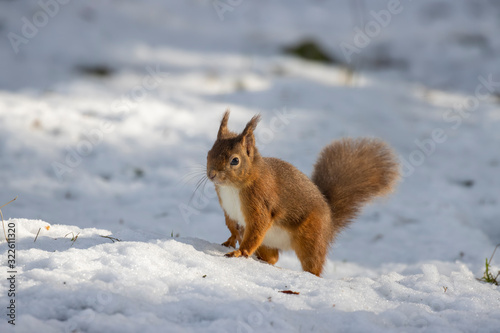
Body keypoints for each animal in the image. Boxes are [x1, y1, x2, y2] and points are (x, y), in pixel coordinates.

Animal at [206, 110, 398, 276]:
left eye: (235, 160)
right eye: (209, 153)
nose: (212, 174)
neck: (232, 187)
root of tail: (330, 220)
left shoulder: (260, 201)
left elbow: (257, 227)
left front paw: (240, 252)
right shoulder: (228, 209)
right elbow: (232, 226)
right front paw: (230, 241)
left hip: (311, 238)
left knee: (313, 264)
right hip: (268, 243)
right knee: (273, 257)